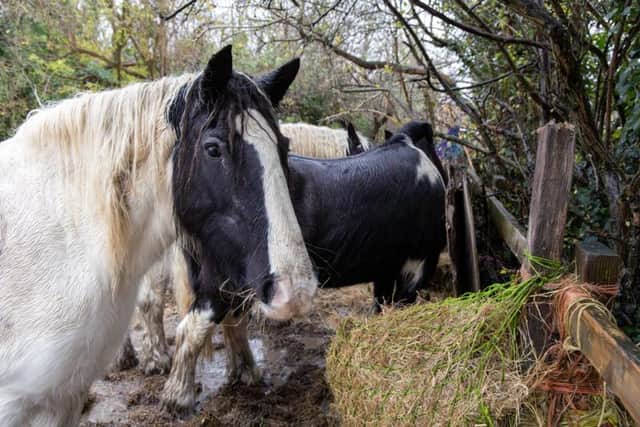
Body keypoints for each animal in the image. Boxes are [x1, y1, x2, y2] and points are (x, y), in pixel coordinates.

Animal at [162, 120, 447, 414]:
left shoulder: (387, 271)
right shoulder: (416, 268)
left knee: (228, 324)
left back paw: (242, 375)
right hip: (219, 283)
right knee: (193, 329)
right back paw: (179, 398)